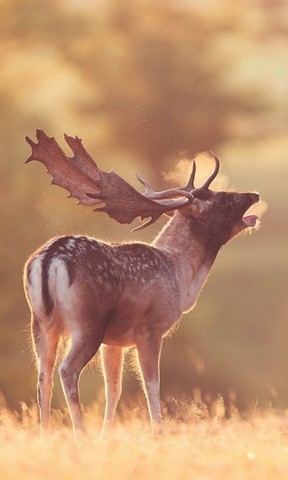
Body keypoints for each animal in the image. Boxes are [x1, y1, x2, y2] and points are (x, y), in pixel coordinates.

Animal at [23, 129, 260, 436]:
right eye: (222, 200)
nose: (254, 194)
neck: (180, 278)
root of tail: (49, 258)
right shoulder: (151, 328)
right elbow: (151, 385)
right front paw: (158, 432)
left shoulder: (114, 342)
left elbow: (113, 389)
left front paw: (107, 434)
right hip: (87, 324)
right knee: (67, 370)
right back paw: (81, 433)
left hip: (40, 324)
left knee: (43, 376)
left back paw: (45, 434)